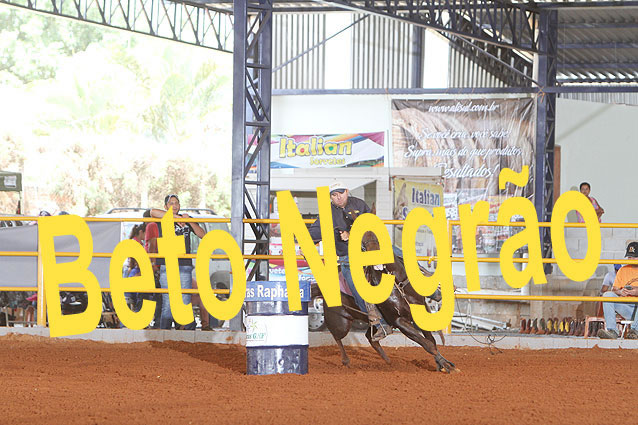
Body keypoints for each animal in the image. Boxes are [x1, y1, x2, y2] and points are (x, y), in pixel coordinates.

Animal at [313, 230, 456, 373]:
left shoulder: (420, 310)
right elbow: (428, 344)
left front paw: (442, 363)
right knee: (337, 336)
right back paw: (346, 361)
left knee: (371, 337)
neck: (397, 283)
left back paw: (388, 361)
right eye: (363, 245)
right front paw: (446, 365)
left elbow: (431, 340)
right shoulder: (398, 321)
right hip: (340, 322)